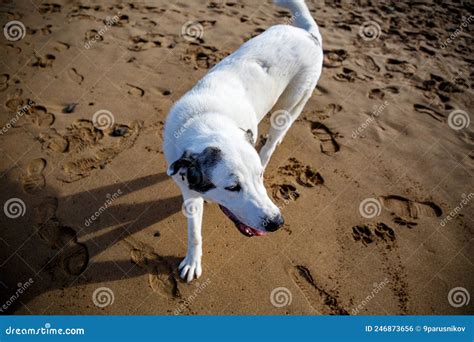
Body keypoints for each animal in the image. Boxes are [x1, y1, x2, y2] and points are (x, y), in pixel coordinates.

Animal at [163, 0, 322, 282]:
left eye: (258, 178)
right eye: (232, 187)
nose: (277, 223)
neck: (206, 119)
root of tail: (307, 34)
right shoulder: (189, 191)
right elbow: (194, 233)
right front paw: (193, 260)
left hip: (290, 105)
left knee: (273, 139)